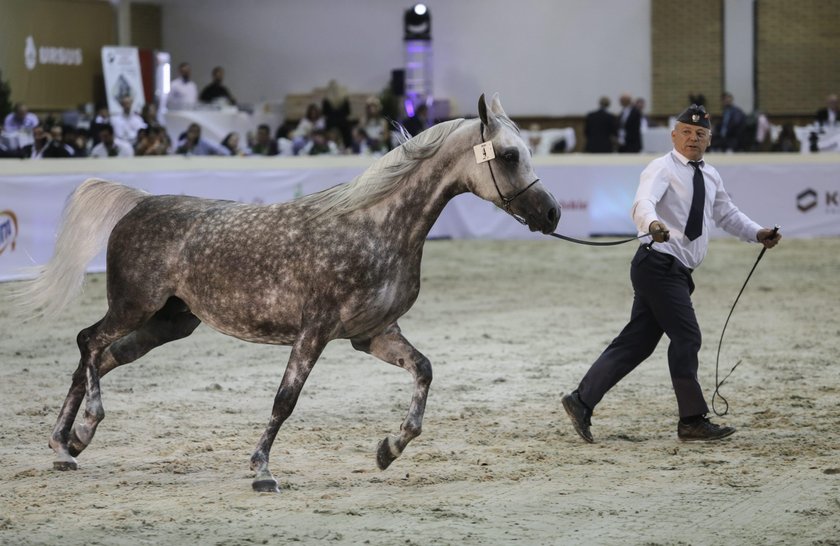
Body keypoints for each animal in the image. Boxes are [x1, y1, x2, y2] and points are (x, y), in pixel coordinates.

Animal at [16, 92, 560, 488]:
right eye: (509, 155)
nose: (551, 214)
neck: (375, 227)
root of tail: (140, 202)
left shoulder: (373, 334)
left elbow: (423, 372)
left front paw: (388, 450)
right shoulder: (314, 329)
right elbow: (285, 399)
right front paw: (262, 470)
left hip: (166, 323)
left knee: (98, 358)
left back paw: (69, 444)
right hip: (134, 307)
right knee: (88, 343)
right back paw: (82, 428)